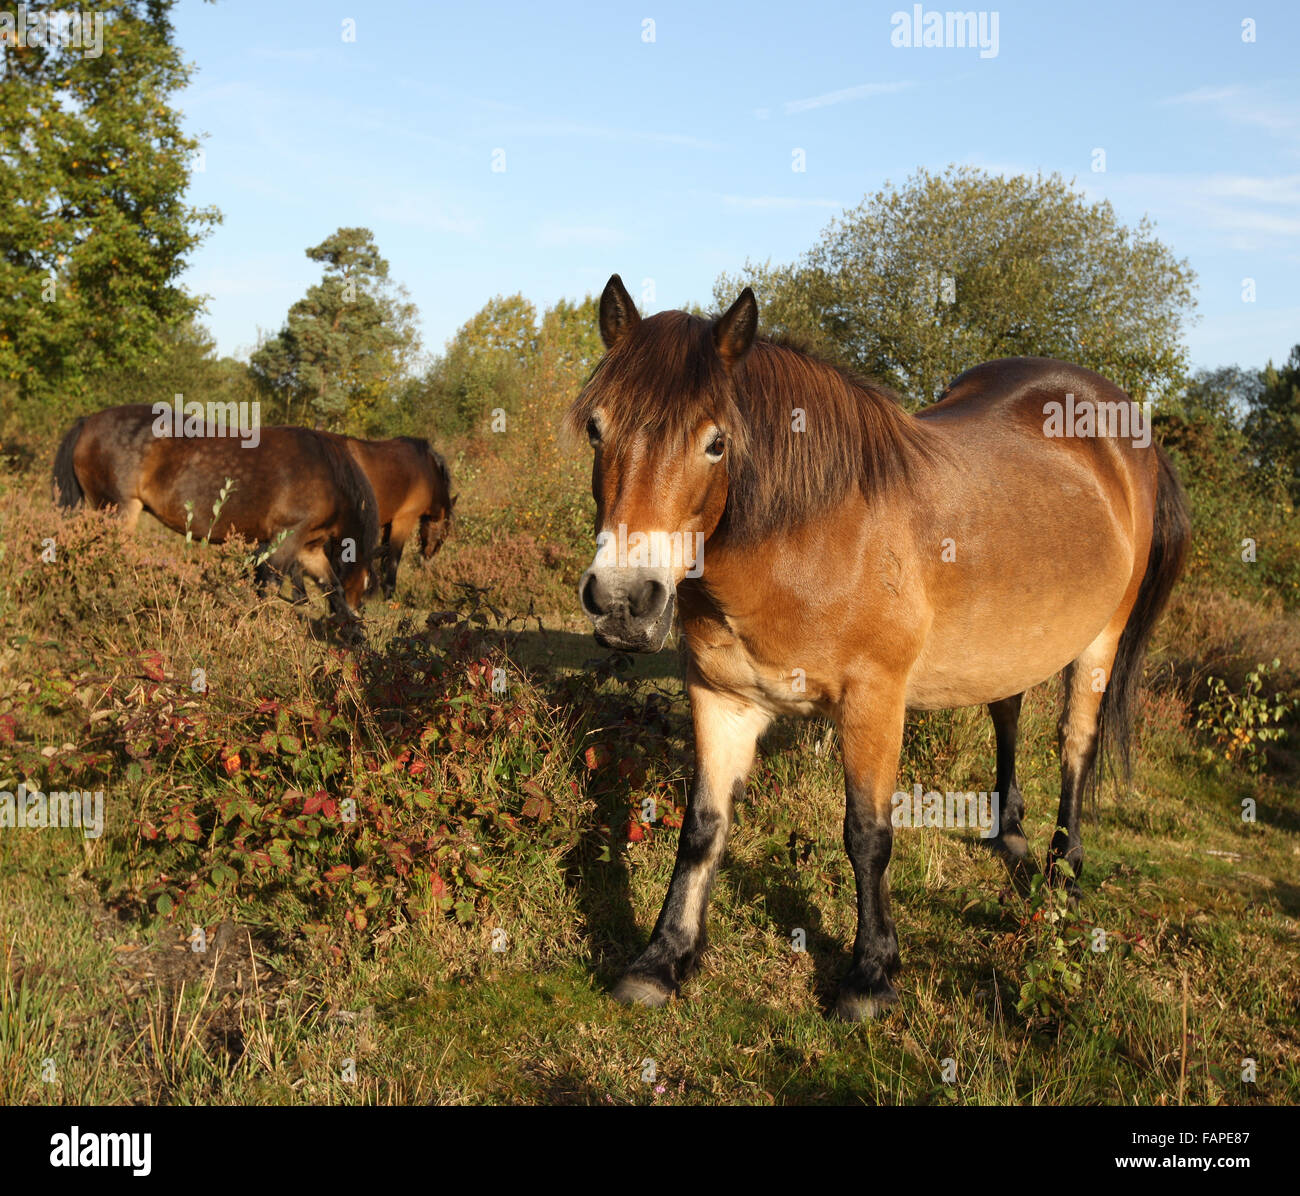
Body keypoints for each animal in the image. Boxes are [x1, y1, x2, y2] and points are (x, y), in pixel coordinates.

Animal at [55, 405, 379, 621]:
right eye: (366, 587)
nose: (361, 612)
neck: (327, 474)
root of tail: (88, 422)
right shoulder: (286, 539)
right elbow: (268, 586)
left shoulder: (308, 548)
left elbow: (332, 587)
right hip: (117, 510)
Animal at [343, 434, 454, 598]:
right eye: (442, 538)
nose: (427, 562)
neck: (428, 471)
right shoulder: (404, 519)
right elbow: (395, 554)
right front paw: (389, 590)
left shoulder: (388, 523)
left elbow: (385, 551)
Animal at [569, 275, 1190, 1024]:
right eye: (597, 427)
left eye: (716, 443)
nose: (623, 601)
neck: (811, 535)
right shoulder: (722, 697)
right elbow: (702, 828)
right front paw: (662, 960)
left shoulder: (874, 702)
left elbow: (867, 836)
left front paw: (870, 976)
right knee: (1006, 709)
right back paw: (1008, 834)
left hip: (1102, 637)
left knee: (1076, 743)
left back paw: (1062, 871)